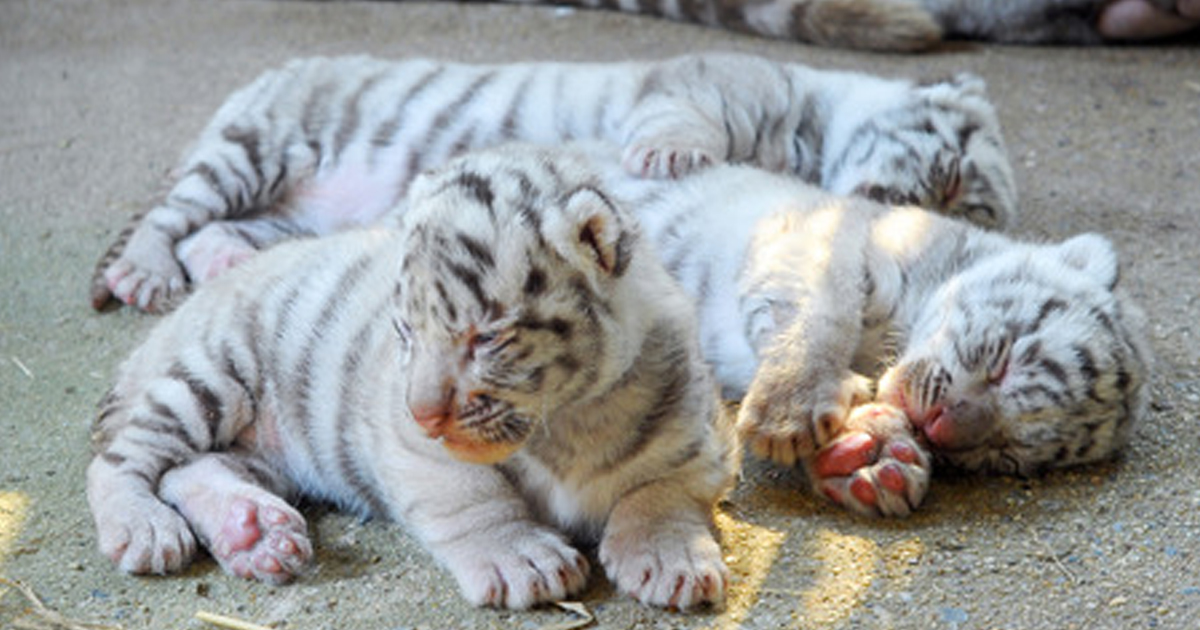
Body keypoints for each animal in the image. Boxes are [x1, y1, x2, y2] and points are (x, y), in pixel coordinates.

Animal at [86, 144, 741, 610]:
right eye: (404, 332)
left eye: (486, 338)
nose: (424, 414)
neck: (570, 418)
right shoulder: (413, 448)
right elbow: (473, 496)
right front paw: (521, 560)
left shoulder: (701, 438)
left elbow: (660, 491)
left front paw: (670, 558)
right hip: (210, 373)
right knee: (119, 460)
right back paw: (144, 528)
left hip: (267, 451)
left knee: (191, 469)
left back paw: (254, 534)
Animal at [89, 51, 1017, 313]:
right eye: (943, 172)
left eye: (963, 203)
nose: (911, 210)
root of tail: (264, 75)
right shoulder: (702, 83)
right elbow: (685, 123)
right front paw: (672, 157)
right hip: (257, 148)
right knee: (171, 214)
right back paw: (142, 271)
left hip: (287, 217)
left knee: (215, 233)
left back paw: (217, 265)